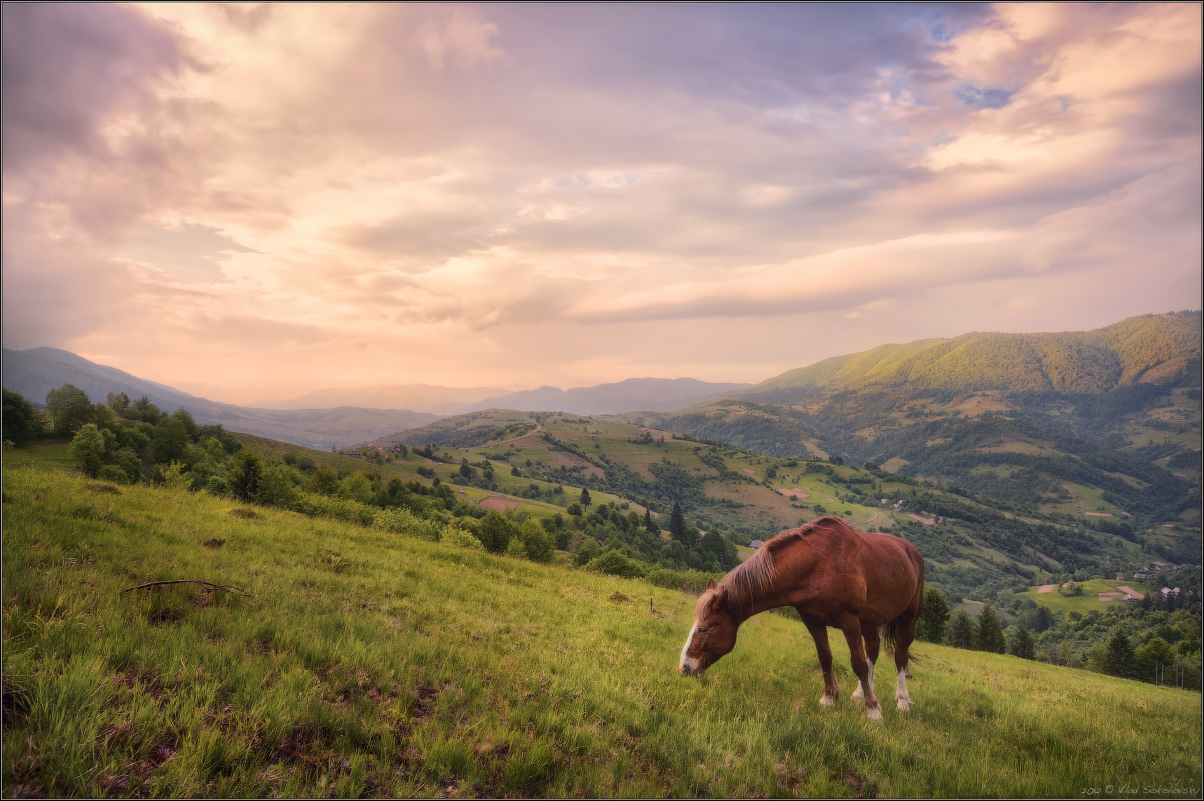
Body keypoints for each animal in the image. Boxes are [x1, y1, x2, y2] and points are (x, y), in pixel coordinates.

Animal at [683, 515, 924, 722]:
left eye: (704, 629)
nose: (684, 667)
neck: (818, 563)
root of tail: (911, 551)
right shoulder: (813, 621)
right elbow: (825, 657)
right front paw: (830, 697)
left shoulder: (849, 621)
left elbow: (858, 663)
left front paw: (873, 710)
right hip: (869, 622)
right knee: (873, 651)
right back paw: (859, 694)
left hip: (906, 619)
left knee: (900, 656)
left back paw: (902, 701)